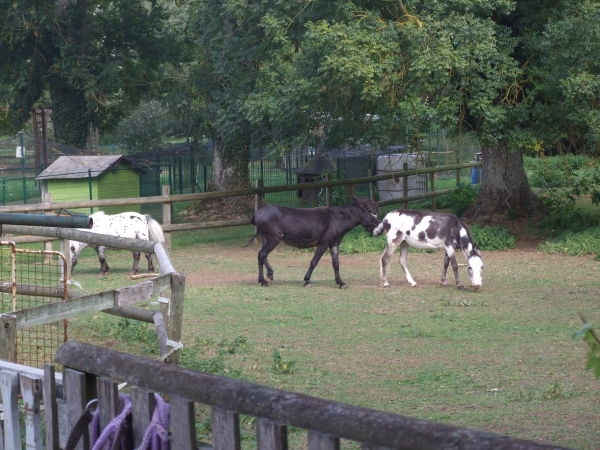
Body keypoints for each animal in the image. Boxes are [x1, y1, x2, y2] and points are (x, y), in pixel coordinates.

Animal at [247, 196, 380, 288]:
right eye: (371, 212)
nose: (380, 229)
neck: (337, 219)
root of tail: (256, 214)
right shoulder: (324, 243)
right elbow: (314, 262)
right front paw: (307, 281)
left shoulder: (334, 244)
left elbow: (336, 264)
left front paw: (340, 283)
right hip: (274, 238)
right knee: (262, 254)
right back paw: (264, 280)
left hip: (267, 238)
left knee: (262, 255)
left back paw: (267, 276)